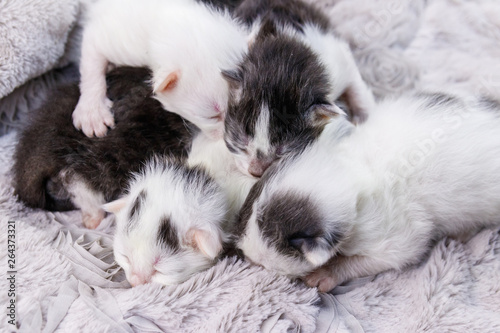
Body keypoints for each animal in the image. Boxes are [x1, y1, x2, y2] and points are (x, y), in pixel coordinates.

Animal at [224, 0, 376, 178]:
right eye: (241, 138)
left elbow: (357, 87)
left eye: (284, 149)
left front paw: (368, 119)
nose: (256, 171)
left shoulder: (340, 59)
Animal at [236, 91, 500, 290]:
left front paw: (328, 272)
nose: (244, 255)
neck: (349, 169)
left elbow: (384, 256)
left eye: (263, 264)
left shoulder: (396, 231)